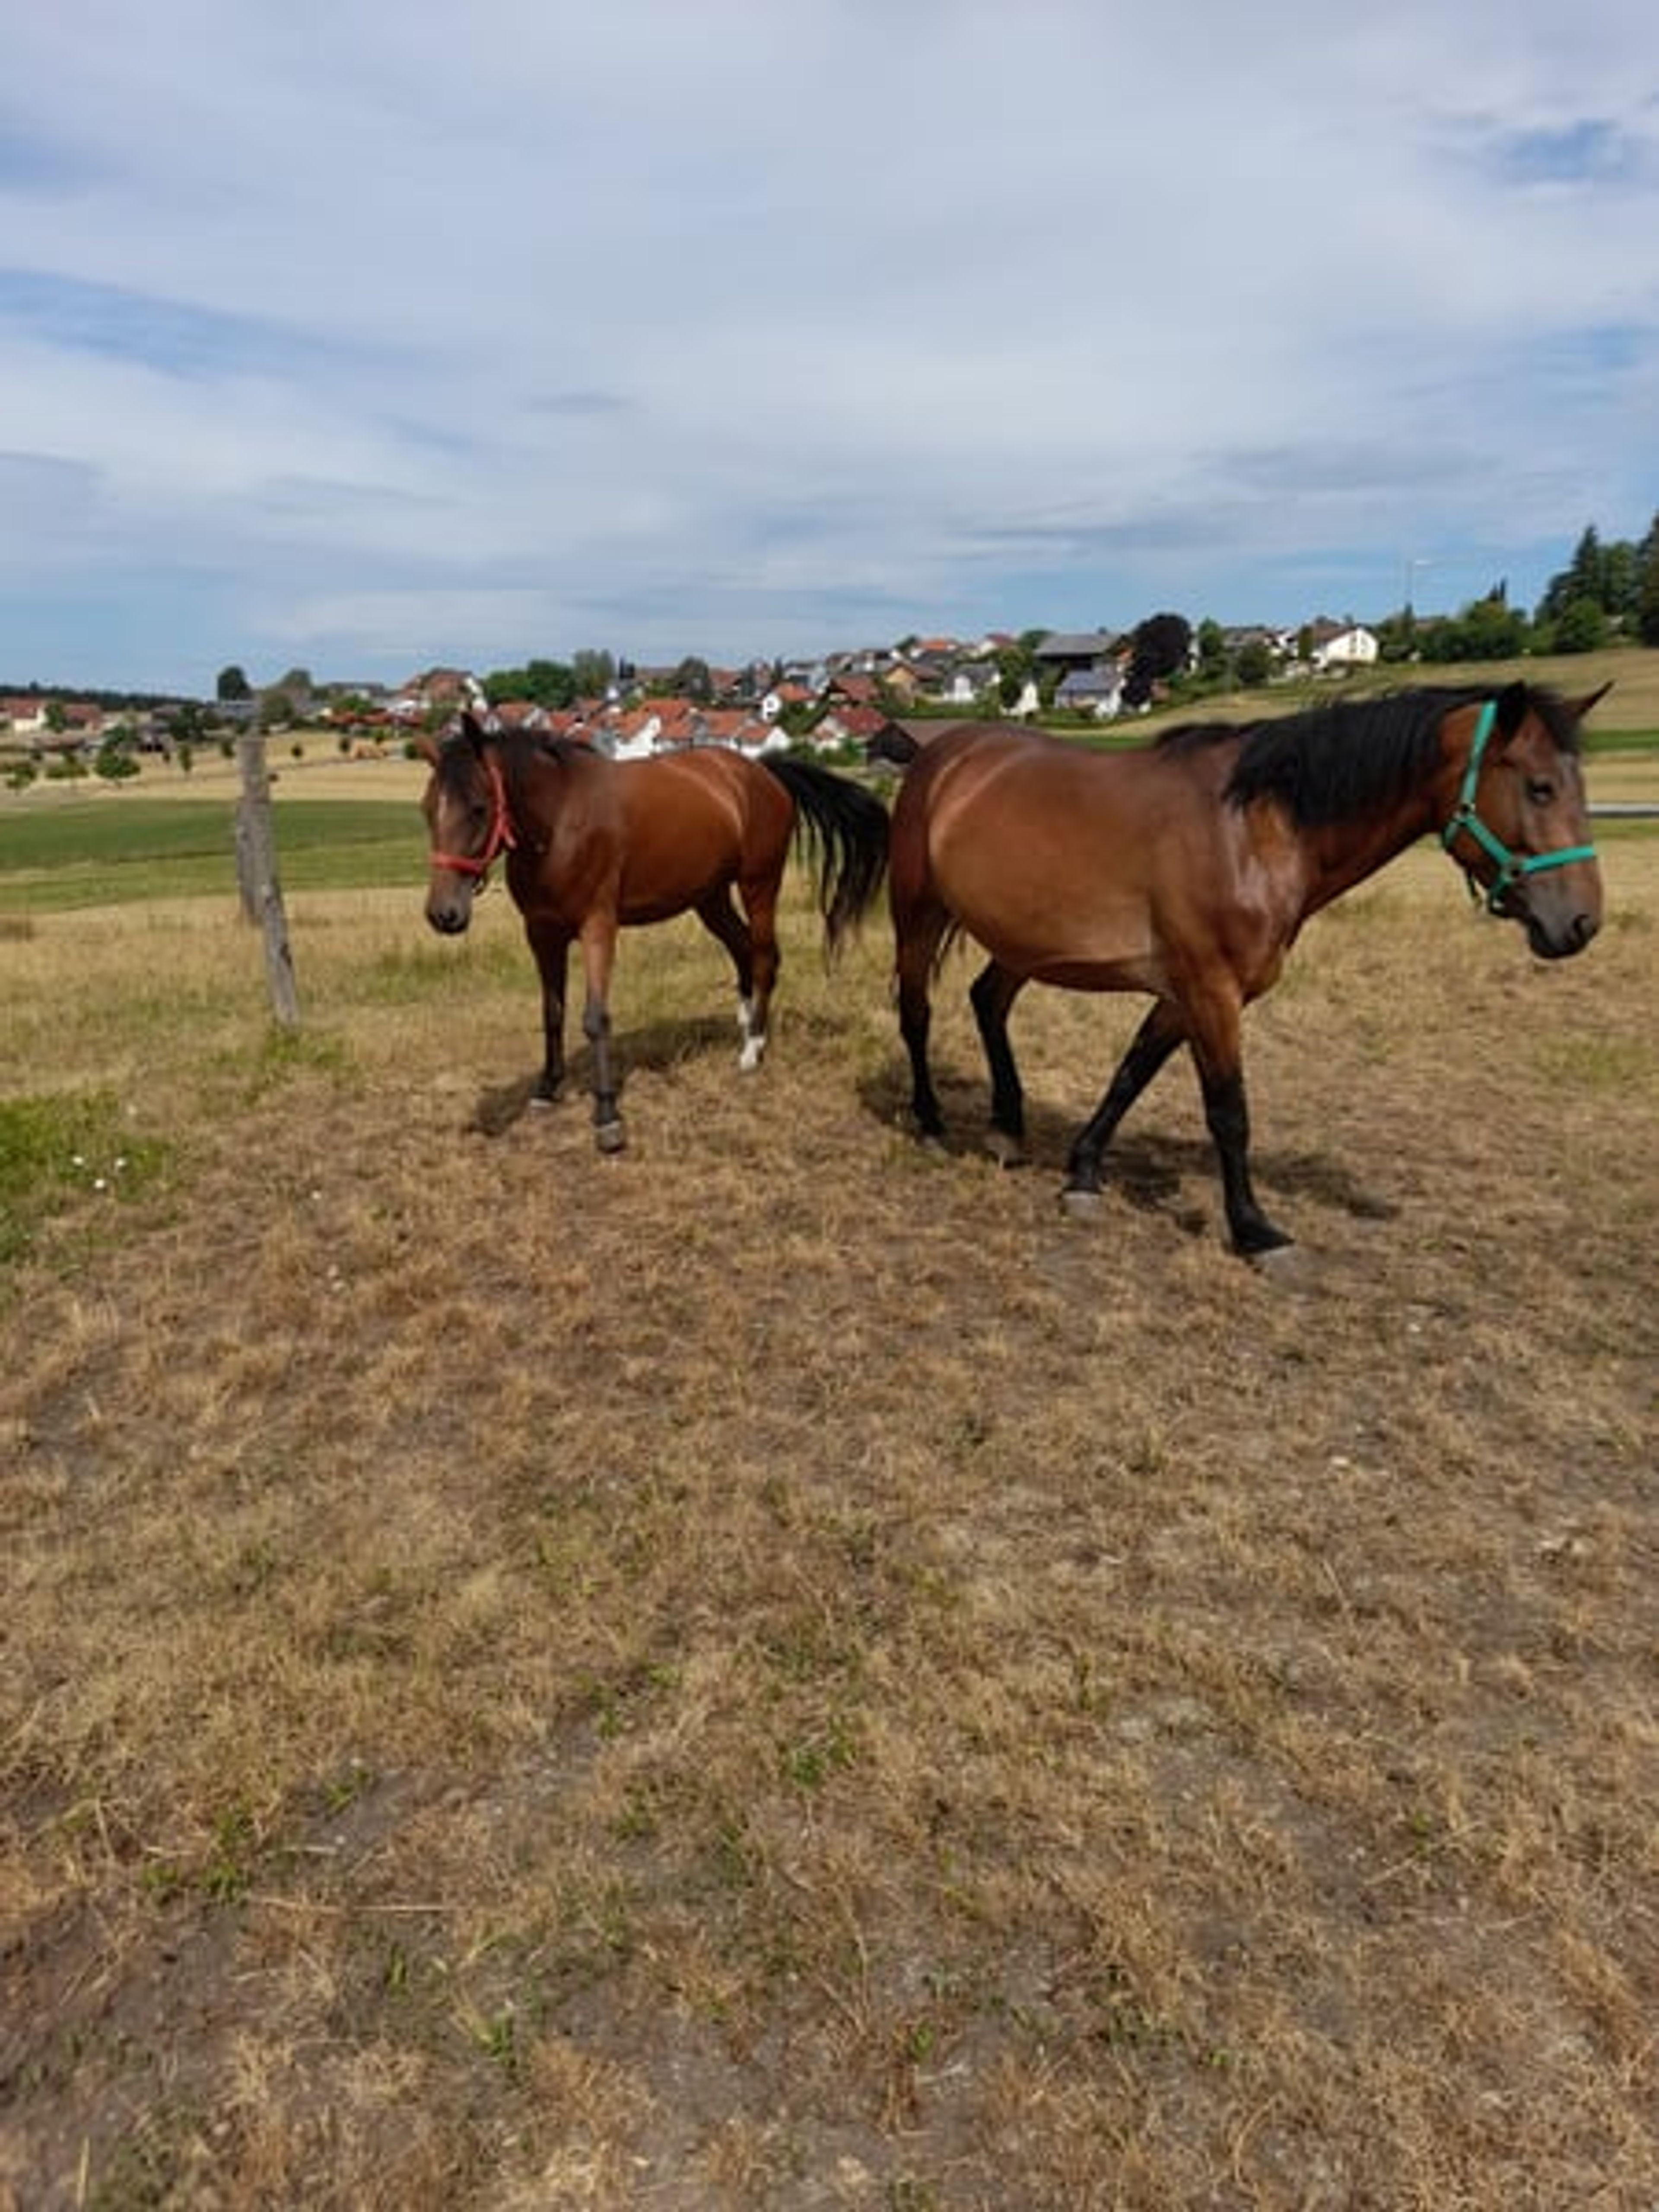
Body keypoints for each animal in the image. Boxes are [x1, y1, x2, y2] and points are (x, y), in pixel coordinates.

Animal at [423, 714, 889, 1151]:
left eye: (479, 807)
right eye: (428, 809)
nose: (444, 914)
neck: (560, 822)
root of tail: (762, 772)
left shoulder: (598, 927)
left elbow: (595, 1018)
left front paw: (607, 1116)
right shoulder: (541, 934)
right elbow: (552, 1013)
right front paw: (547, 1089)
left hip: (759, 885)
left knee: (763, 957)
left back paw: (753, 1048)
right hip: (710, 898)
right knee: (742, 950)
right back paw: (743, 1024)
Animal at [887, 681, 1605, 1256]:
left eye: (1579, 789)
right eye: (1540, 787)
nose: (1581, 923)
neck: (1256, 830)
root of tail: (945, 753)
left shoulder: (1186, 993)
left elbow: (1131, 1074)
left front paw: (1084, 1173)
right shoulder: (1211, 990)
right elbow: (1230, 1112)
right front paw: (1255, 1229)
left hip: (1025, 941)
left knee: (988, 1002)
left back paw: (1008, 1129)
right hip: (918, 915)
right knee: (916, 1013)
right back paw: (931, 1122)